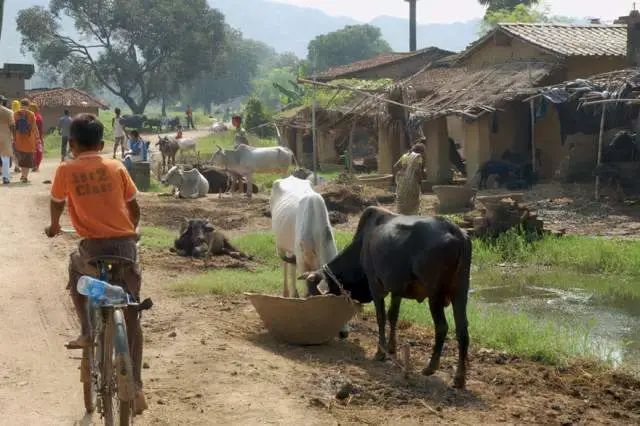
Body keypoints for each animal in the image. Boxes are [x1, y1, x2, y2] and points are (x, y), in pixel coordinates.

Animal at [300, 206, 470, 390]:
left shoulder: (375, 285)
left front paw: (380, 352)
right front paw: (391, 348)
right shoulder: (397, 290)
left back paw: (430, 367)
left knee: (442, 327)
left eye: (314, 295)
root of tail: (456, 232)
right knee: (462, 330)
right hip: (460, 291)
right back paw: (459, 378)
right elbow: (392, 316)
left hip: (435, 295)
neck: (362, 246)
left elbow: (381, 317)